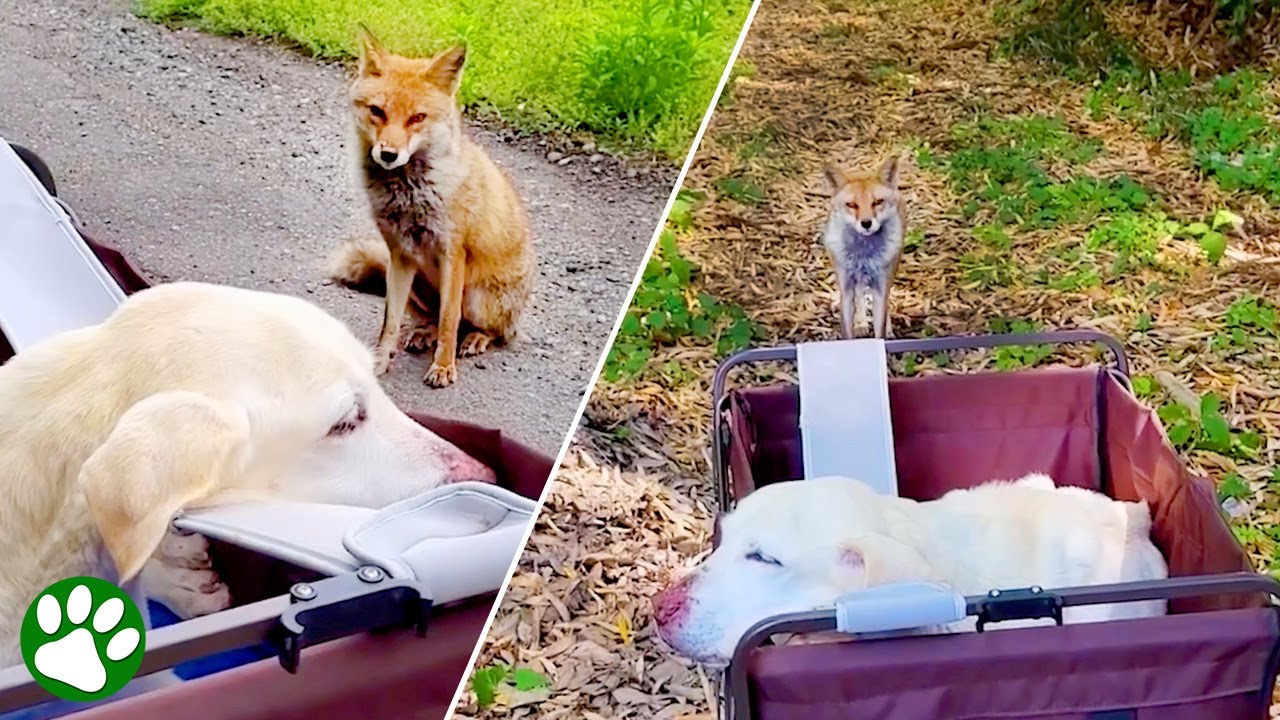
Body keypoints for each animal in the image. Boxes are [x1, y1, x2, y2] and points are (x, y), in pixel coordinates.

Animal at [327, 25, 535, 389]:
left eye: (417, 118)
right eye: (377, 111)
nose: (388, 154)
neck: (409, 194)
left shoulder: (453, 252)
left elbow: (450, 320)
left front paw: (443, 367)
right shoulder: (400, 254)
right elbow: (390, 321)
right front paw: (380, 361)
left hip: (477, 298)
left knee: (486, 330)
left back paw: (476, 339)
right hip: (417, 288)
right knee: (429, 320)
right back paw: (424, 333)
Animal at [820, 156, 904, 339]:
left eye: (877, 202)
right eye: (852, 205)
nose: (866, 223)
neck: (863, 255)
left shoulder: (881, 287)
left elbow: (879, 331)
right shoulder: (846, 289)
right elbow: (847, 333)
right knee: (860, 296)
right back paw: (861, 324)